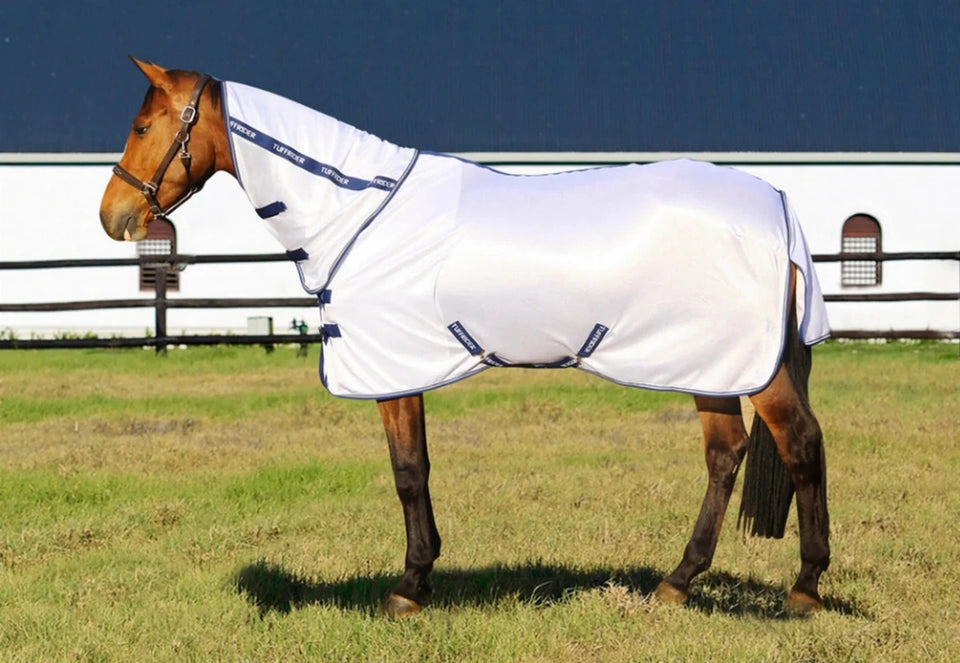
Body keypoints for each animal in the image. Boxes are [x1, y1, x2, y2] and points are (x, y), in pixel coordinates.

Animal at [99, 59, 830, 617]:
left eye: (142, 126)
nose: (115, 215)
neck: (359, 212)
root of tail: (779, 207)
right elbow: (418, 466)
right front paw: (420, 578)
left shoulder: (394, 368)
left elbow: (407, 472)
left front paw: (408, 588)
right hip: (711, 365)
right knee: (726, 454)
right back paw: (676, 583)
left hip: (749, 369)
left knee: (800, 444)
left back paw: (803, 589)